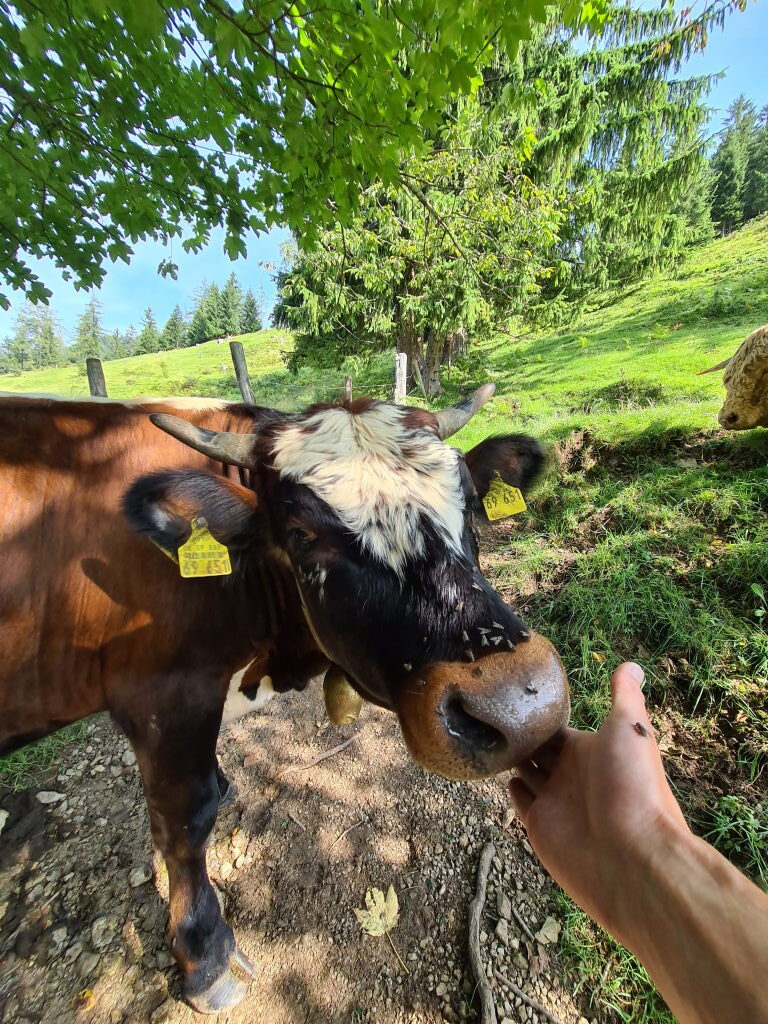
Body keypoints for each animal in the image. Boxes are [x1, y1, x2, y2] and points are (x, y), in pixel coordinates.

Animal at [0, 386, 568, 1012]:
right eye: (301, 535)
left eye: (467, 501)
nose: (521, 702)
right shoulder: (161, 700)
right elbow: (184, 820)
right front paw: (205, 954)